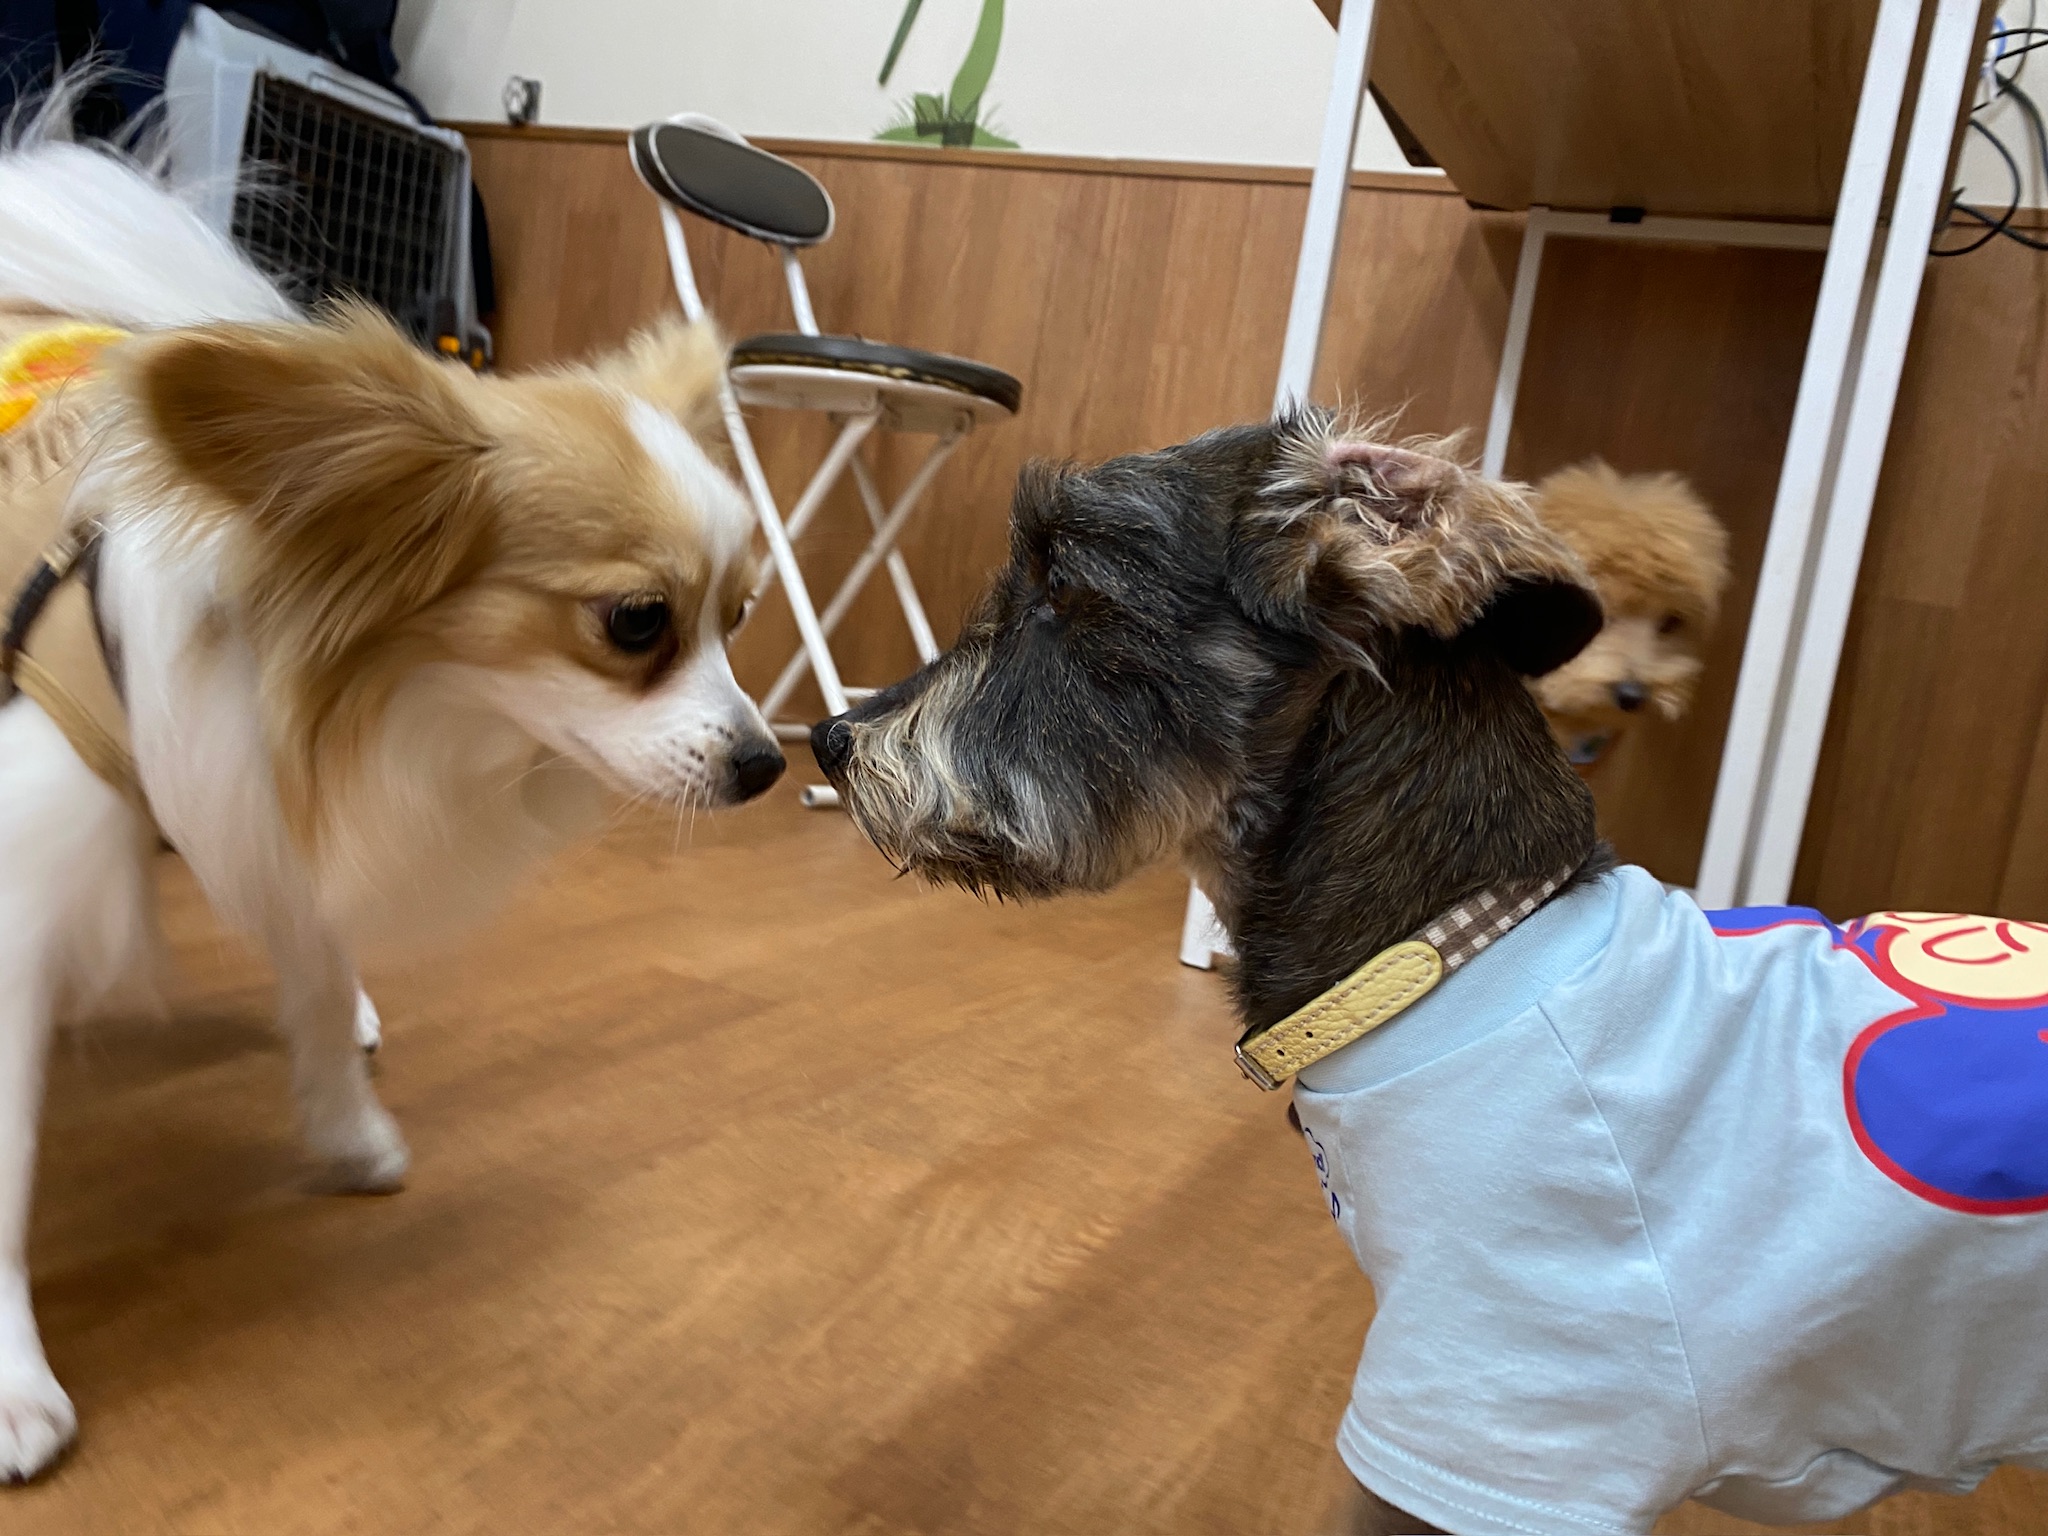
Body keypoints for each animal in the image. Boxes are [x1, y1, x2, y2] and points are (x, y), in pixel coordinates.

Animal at [0, 124, 782, 1479]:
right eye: (639, 622)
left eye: (738, 620)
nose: (767, 762)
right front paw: (10, 1382)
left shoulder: (262, 786)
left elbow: (314, 969)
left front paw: (344, 1125)